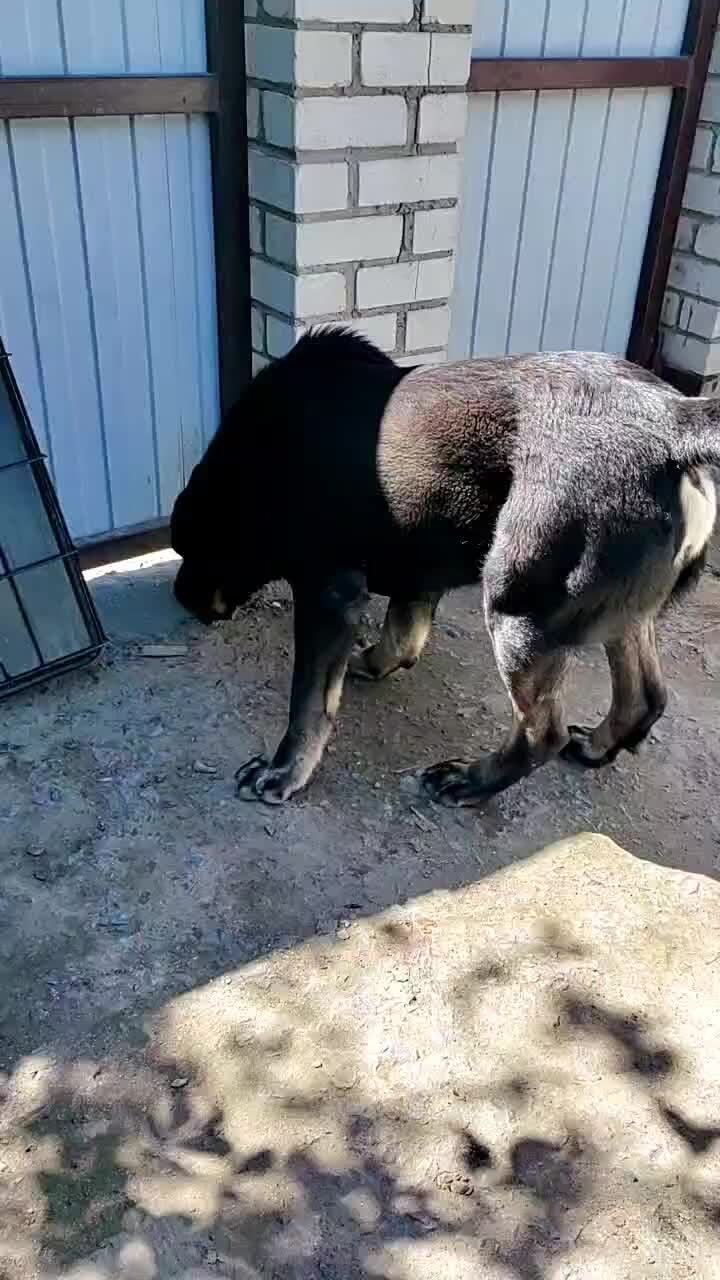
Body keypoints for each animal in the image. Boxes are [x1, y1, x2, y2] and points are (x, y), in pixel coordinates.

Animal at [170, 332, 712, 808]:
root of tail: (675, 421)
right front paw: (371, 663)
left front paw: (284, 772)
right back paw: (596, 748)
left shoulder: (328, 591)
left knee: (541, 733)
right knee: (644, 697)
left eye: (189, 549)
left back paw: (471, 781)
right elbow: (402, 635)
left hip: (518, 607)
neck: (255, 464)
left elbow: (308, 703)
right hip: (621, 610)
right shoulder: (417, 566)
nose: (180, 596)